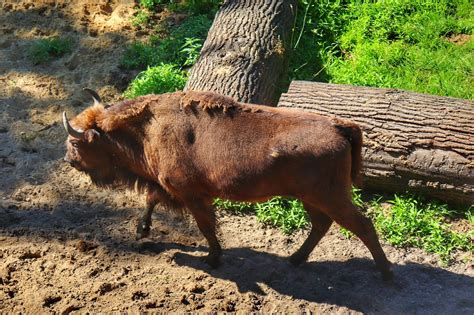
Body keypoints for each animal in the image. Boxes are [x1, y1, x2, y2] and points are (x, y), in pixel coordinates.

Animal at [65, 90, 394, 280]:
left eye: (76, 142)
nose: (69, 160)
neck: (149, 128)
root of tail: (341, 126)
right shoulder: (168, 186)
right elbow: (150, 199)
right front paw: (142, 231)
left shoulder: (192, 194)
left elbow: (206, 226)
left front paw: (212, 259)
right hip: (311, 197)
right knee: (321, 225)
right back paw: (294, 259)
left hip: (329, 196)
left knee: (362, 224)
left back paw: (386, 273)